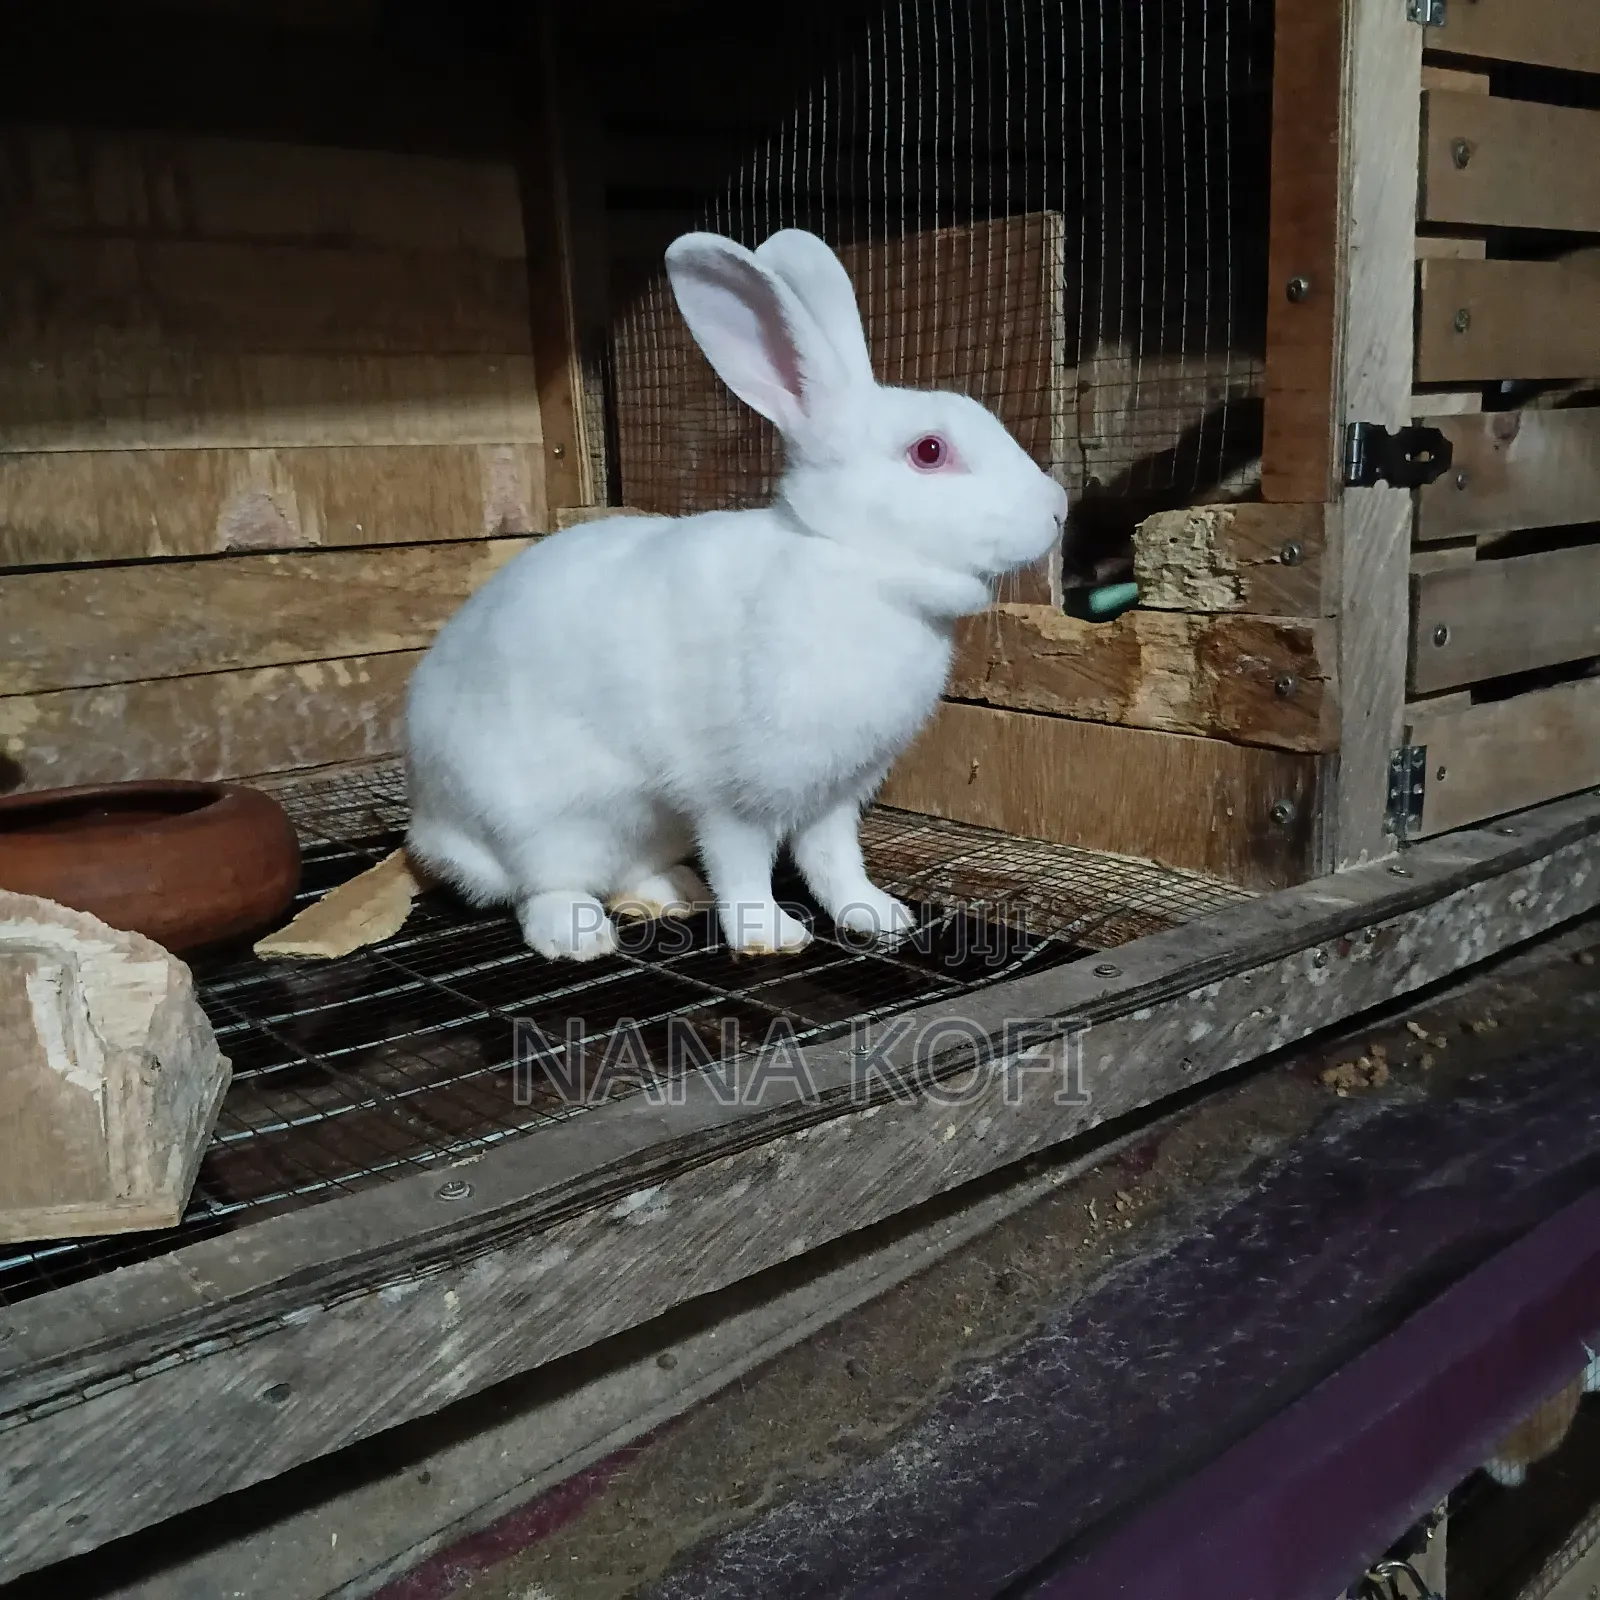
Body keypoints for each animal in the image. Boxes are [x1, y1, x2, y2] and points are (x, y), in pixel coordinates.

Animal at [404, 226, 1069, 962]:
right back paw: (581, 936)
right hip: (541, 824)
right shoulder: (735, 796)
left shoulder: (834, 793)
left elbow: (835, 861)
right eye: (929, 451)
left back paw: (672, 892)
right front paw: (770, 936)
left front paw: (878, 916)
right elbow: (745, 866)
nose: (1059, 508)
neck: (853, 562)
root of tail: (430, 825)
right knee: (540, 891)